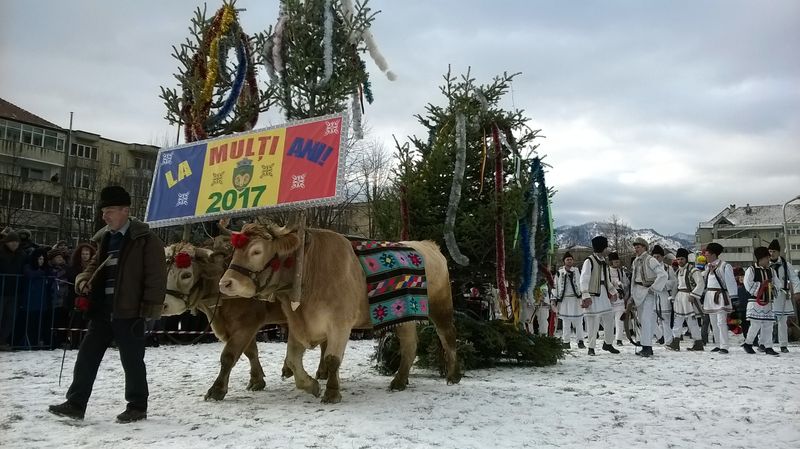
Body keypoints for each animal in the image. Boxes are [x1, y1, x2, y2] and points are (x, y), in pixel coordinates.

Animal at [164, 242, 295, 401]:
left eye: (186, 275)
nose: (164, 305)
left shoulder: (246, 324)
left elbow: (228, 356)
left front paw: (217, 389)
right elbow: (251, 352)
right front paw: (256, 380)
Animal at [218, 223, 461, 403]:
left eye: (256, 251)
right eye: (235, 251)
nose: (225, 283)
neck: (309, 270)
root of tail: (427, 244)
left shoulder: (340, 323)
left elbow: (332, 359)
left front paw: (332, 392)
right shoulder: (298, 324)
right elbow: (293, 360)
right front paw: (311, 385)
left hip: (440, 306)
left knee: (448, 336)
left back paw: (453, 376)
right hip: (404, 316)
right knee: (410, 345)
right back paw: (399, 381)